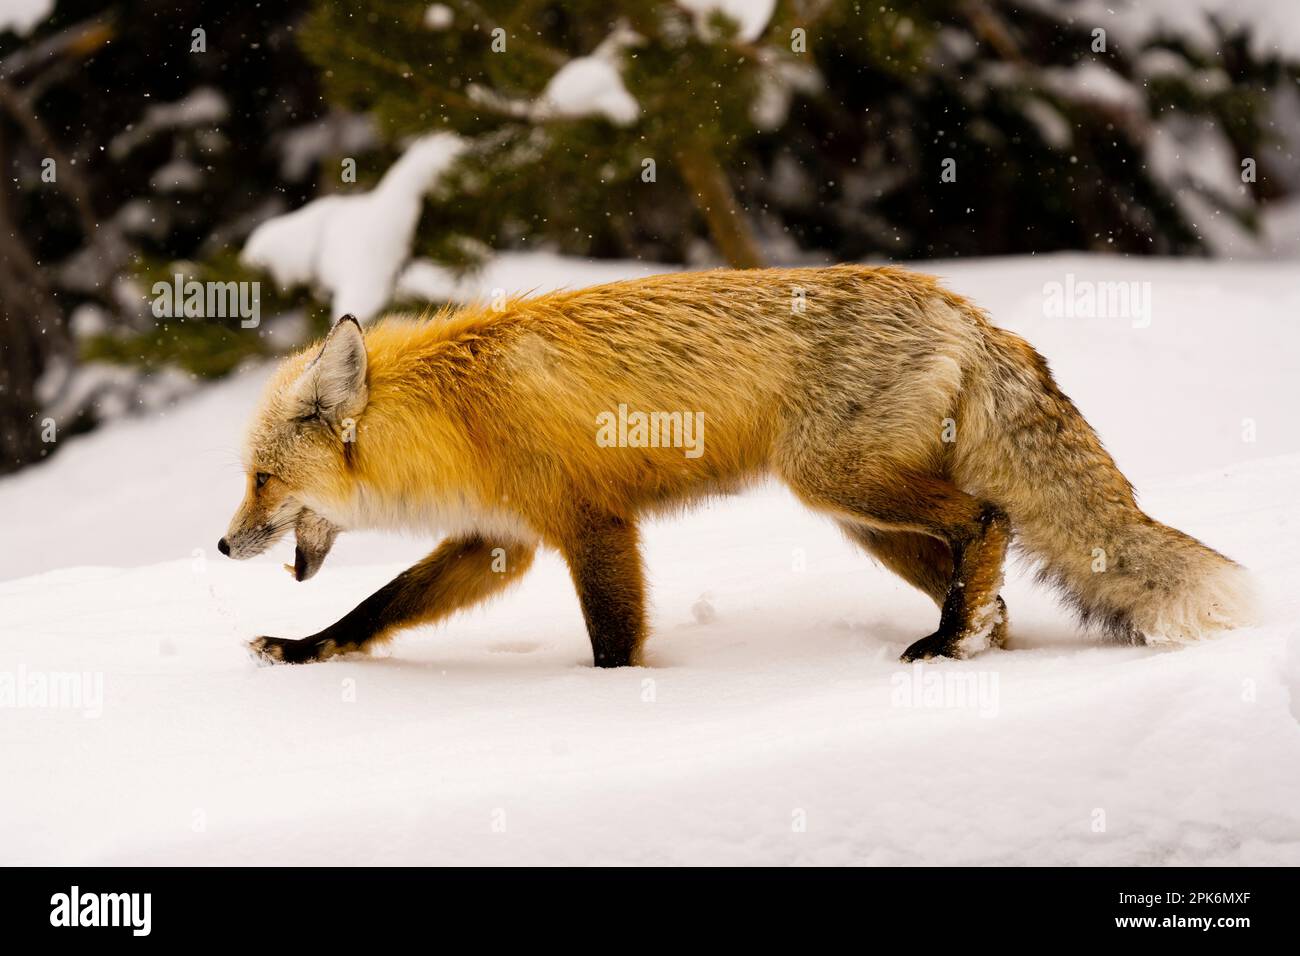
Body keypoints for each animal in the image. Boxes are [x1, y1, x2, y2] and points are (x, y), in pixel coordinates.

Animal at [218, 261, 1253, 665]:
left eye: (262, 480)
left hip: (839, 483)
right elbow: (375, 606)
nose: (224, 547)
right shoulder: (497, 542)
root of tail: (958, 302)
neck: (459, 413)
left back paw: (948, 644)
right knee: (986, 578)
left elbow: (613, 641)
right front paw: (304, 650)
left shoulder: (592, 525)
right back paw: (969, 637)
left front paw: (610, 701)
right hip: (864, 516)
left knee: (990, 522)